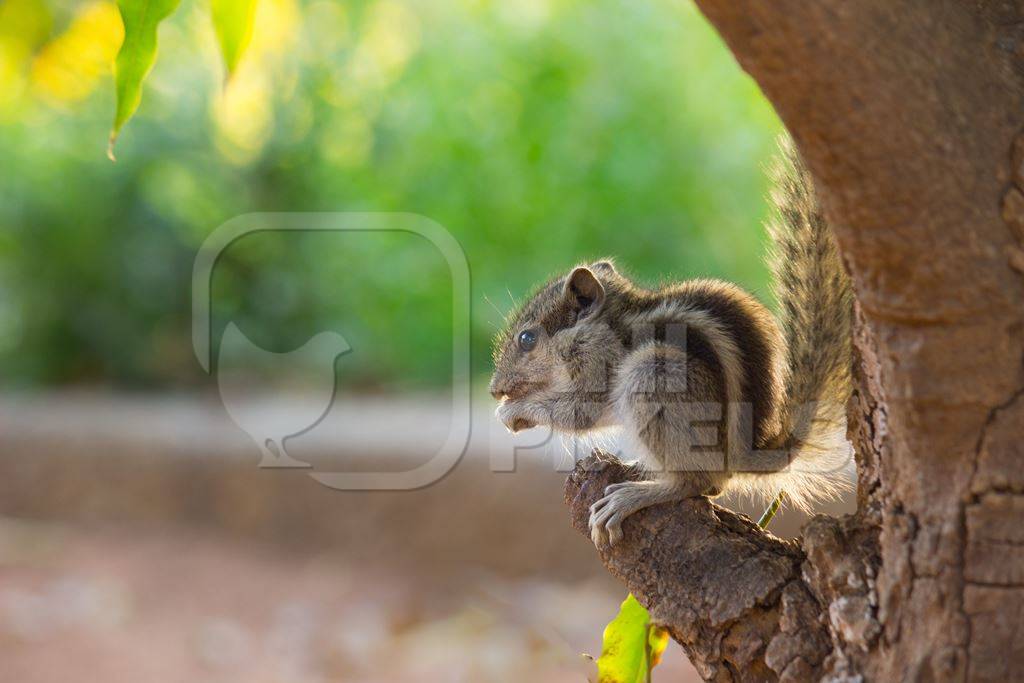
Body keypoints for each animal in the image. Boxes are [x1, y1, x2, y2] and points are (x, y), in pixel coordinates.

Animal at [491, 136, 851, 548]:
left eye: (526, 338)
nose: (494, 389)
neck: (609, 320)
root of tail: (743, 456)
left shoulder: (601, 362)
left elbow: (581, 411)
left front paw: (514, 411)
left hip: (654, 375)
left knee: (701, 483)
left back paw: (635, 495)